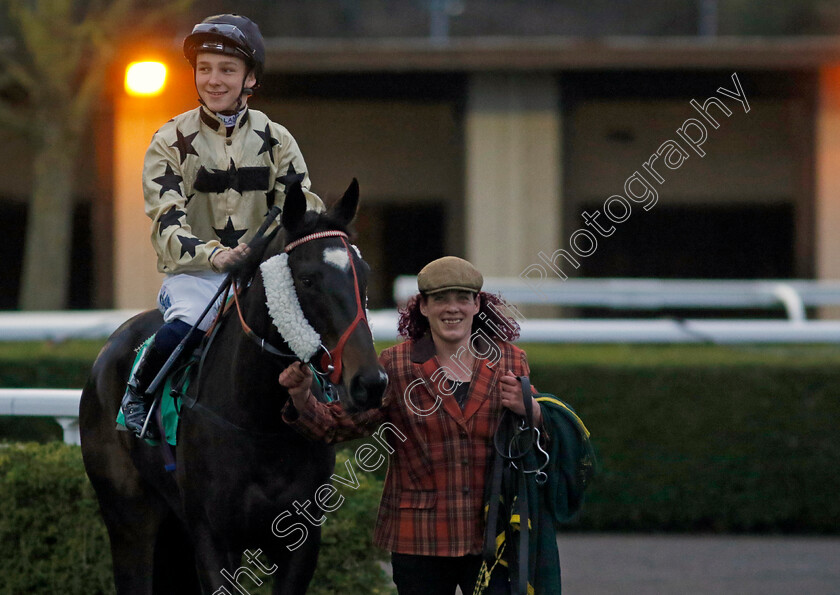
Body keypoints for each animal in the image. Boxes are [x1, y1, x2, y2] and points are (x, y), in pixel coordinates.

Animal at [79, 182, 388, 595]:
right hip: (129, 516)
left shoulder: (302, 538)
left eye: (364, 274)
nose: (369, 381)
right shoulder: (212, 538)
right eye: (307, 279)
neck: (259, 422)